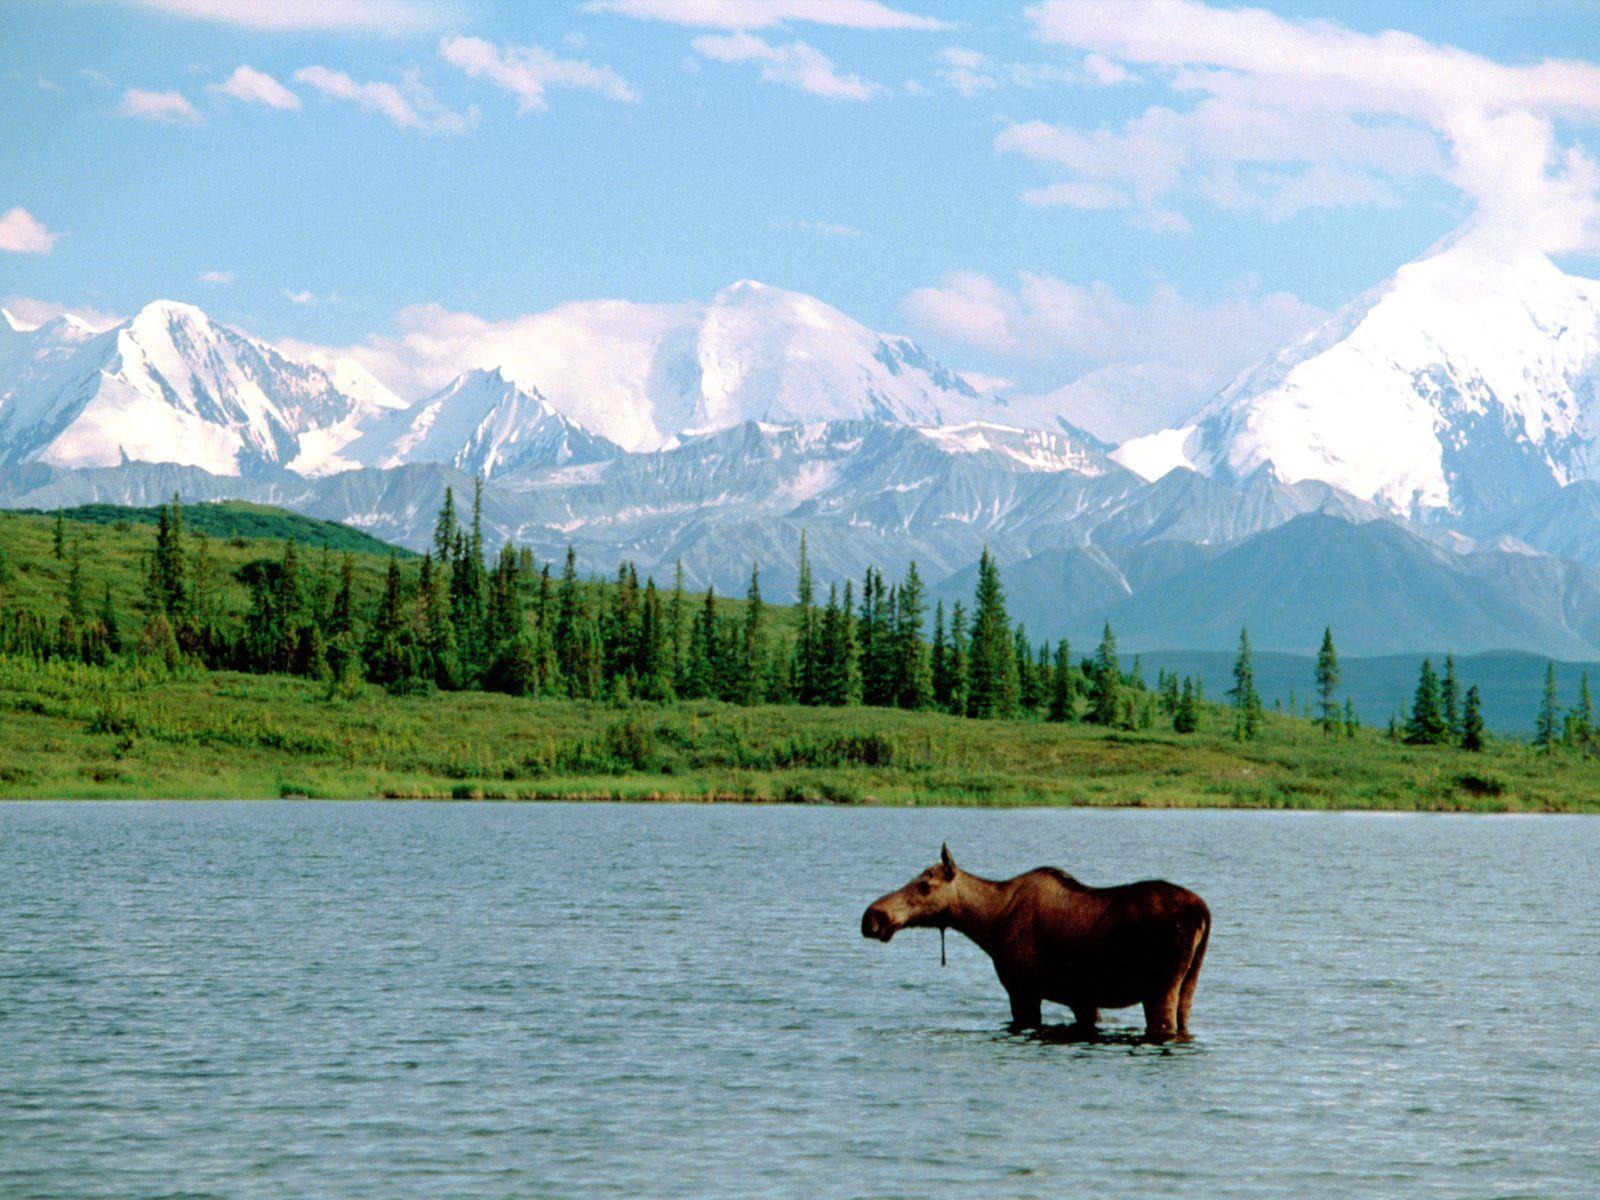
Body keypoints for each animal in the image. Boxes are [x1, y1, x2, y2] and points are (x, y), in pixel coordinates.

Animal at [864, 844, 1209, 1043]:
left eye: (925, 885)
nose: (872, 916)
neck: (988, 924)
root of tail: (1203, 913)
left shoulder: (1023, 991)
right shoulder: (1082, 999)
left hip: (1160, 988)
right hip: (1189, 984)